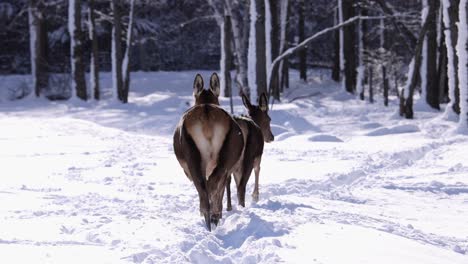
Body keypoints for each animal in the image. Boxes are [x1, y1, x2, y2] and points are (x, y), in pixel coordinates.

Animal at [173, 72, 245, 231]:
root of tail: (206, 115)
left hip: (193, 156)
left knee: (204, 185)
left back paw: (210, 217)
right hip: (222, 158)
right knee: (210, 183)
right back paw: (213, 216)